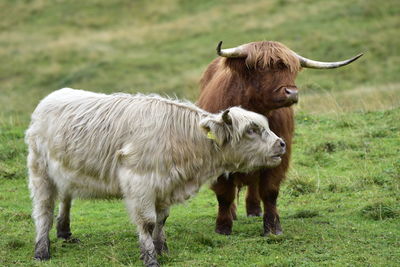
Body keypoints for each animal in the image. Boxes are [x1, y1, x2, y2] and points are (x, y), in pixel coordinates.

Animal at [25, 88, 284, 266]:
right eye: (251, 130)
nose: (281, 144)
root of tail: (51, 97)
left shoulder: (165, 185)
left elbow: (162, 220)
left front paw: (162, 249)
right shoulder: (140, 183)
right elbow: (148, 223)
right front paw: (150, 257)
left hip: (65, 173)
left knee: (65, 199)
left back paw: (64, 232)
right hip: (40, 172)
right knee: (44, 211)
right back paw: (42, 250)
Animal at [197, 40, 362, 236]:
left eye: (292, 70)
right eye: (261, 67)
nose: (292, 93)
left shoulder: (279, 152)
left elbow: (269, 191)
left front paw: (273, 227)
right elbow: (224, 194)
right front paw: (223, 227)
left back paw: (254, 210)